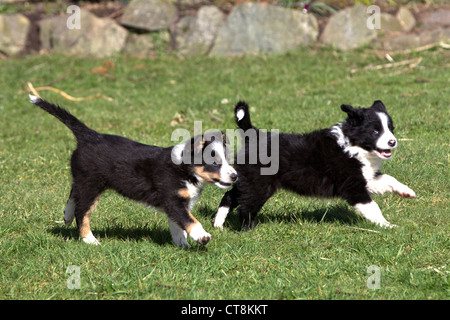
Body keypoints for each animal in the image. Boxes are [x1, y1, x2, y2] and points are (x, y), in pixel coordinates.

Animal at [29, 95, 237, 248]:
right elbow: (190, 221)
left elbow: (178, 226)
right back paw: (90, 240)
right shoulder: (173, 199)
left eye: (227, 159)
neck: (185, 169)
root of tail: (90, 135)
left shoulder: (178, 204)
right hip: (91, 184)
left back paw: (67, 215)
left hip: (83, 179)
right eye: (215, 162)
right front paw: (202, 237)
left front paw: (182, 245)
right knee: (83, 212)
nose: (235, 176)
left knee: (74, 194)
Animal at [214, 101, 414, 229]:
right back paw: (248, 229)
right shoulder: (352, 186)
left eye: (391, 129)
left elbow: (388, 179)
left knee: (230, 196)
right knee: (245, 207)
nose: (393, 142)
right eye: (375, 131)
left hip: (249, 181)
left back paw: (218, 224)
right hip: (259, 185)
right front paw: (388, 225)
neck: (353, 145)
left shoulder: (364, 178)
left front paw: (406, 191)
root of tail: (255, 134)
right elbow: (372, 207)